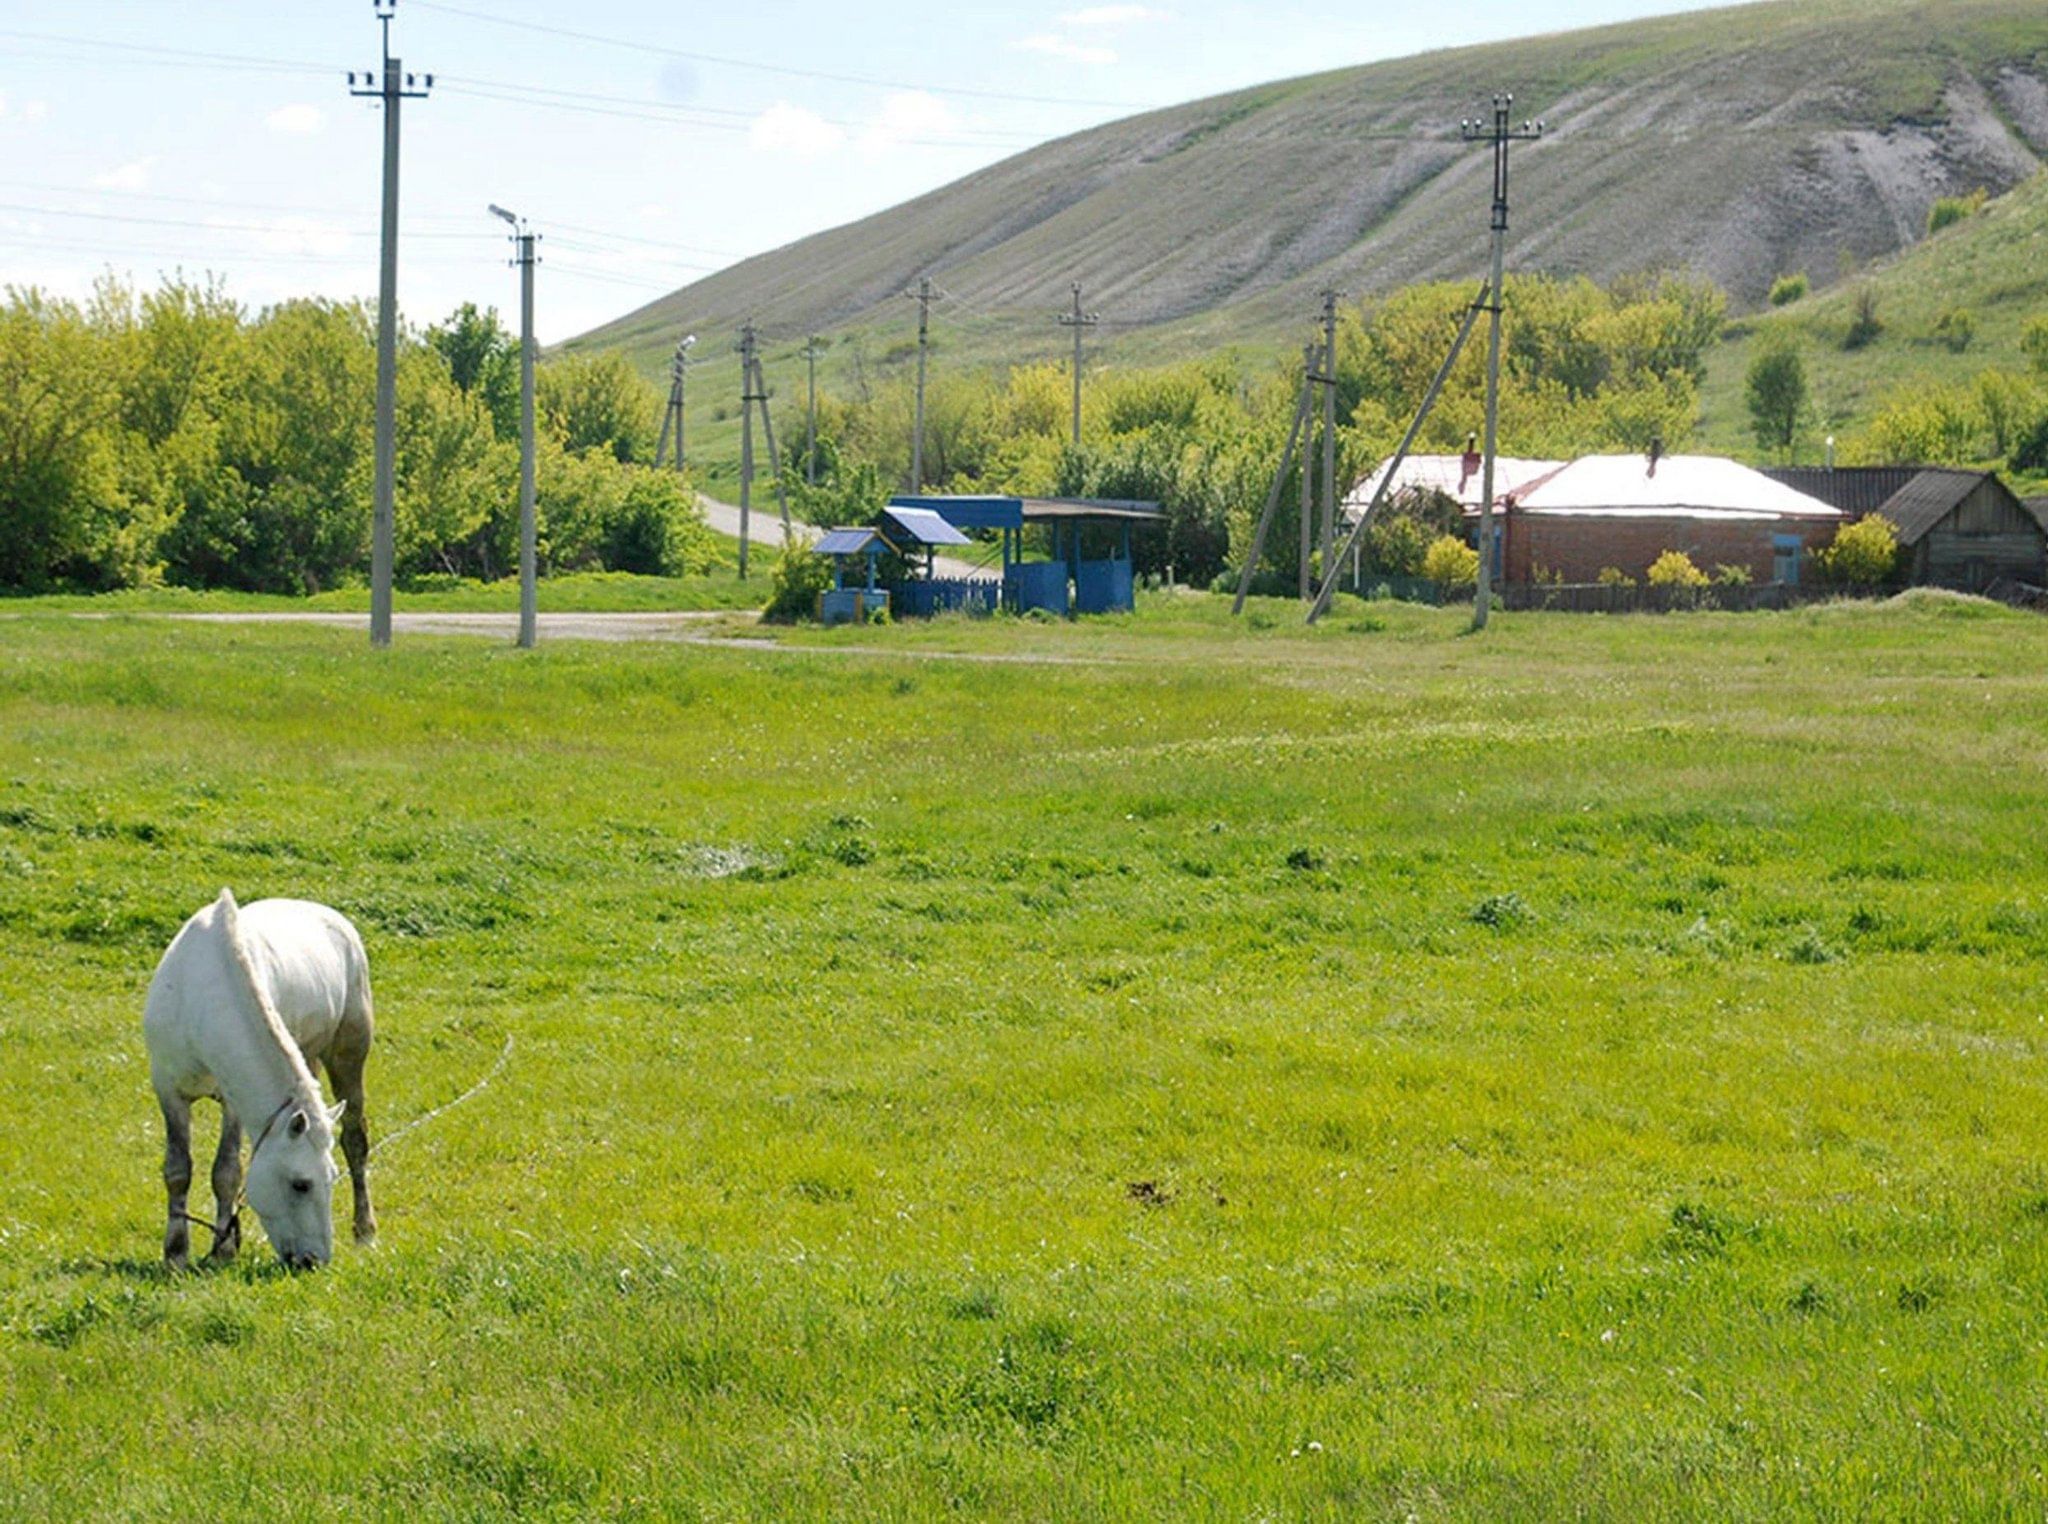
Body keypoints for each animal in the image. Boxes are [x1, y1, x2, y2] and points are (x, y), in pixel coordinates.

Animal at [144, 889, 376, 1270]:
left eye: (330, 1179)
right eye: (301, 1185)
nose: (314, 1261)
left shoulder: (232, 1103)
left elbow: (226, 1172)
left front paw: (223, 1250)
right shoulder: (168, 1091)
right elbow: (177, 1170)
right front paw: (175, 1253)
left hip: (348, 1056)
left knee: (355, 1141)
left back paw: (366, 1231)